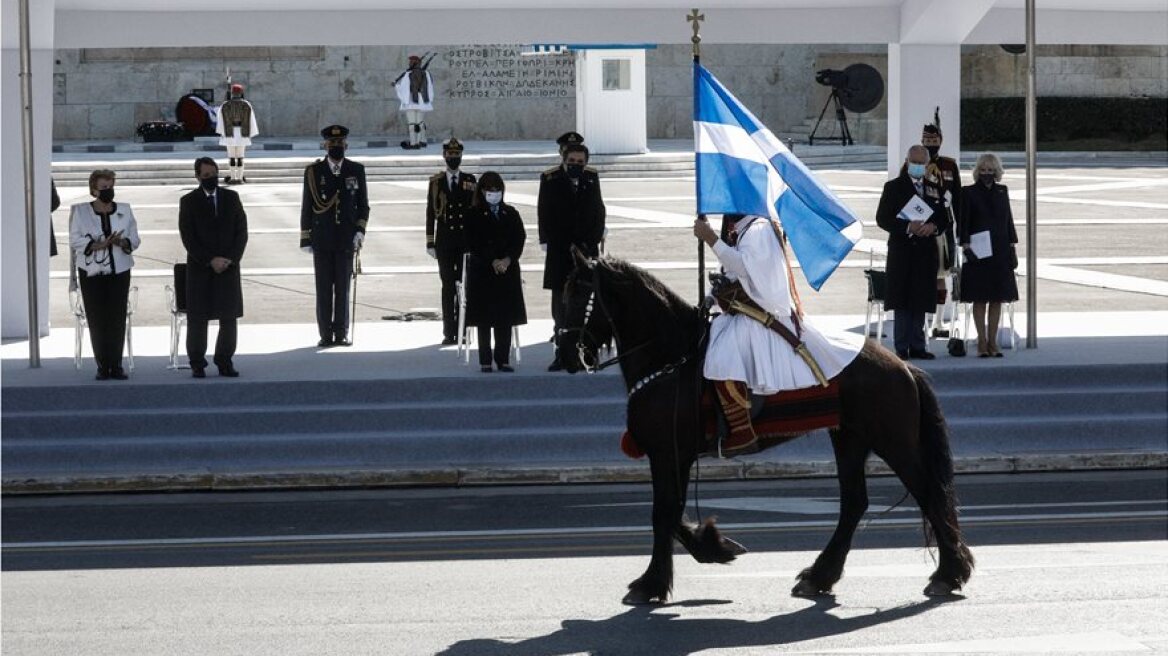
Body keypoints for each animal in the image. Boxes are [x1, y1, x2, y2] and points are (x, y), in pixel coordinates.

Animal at [560, 250, 971, 602]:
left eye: (577, 295)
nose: (564, 355)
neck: (672, 358)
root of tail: (903, 365)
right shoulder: (674, 456)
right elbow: (671, 513)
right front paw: (713, 547)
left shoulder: (667, 453)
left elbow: (663, 513)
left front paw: (652, 583)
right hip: (849, 437)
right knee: (855, 502)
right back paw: (820, 576)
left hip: (893, 441)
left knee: (929, 493)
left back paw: (948, 574)